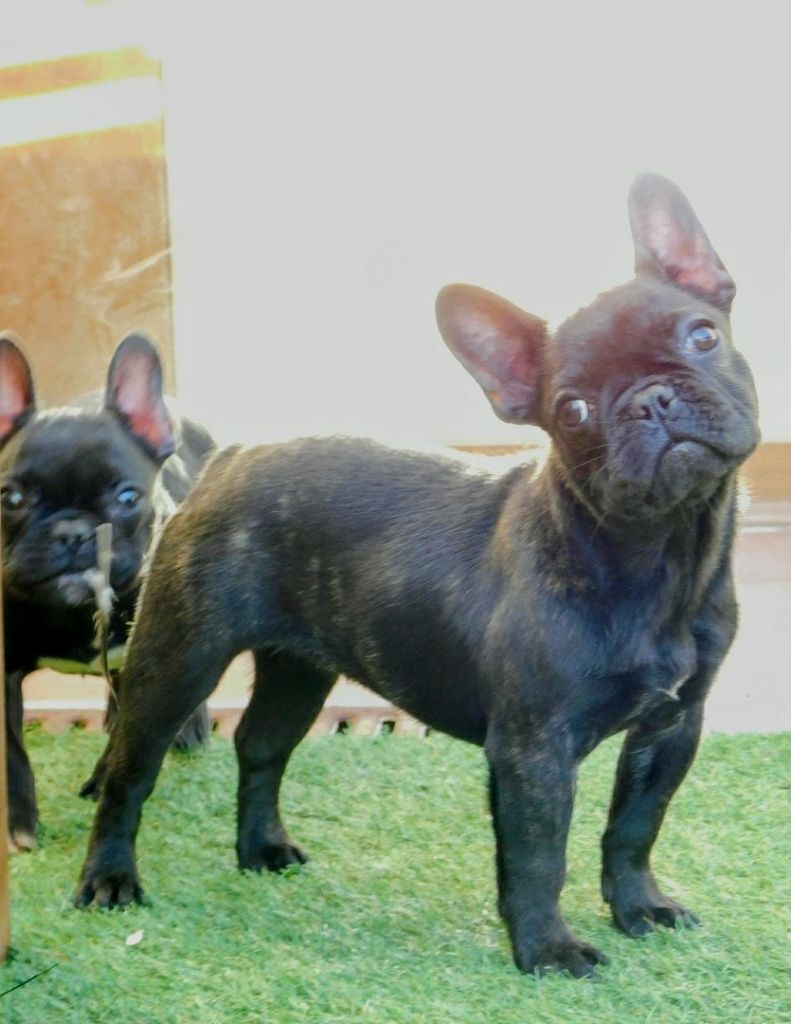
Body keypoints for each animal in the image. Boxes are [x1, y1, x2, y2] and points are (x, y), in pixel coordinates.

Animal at [0, 333, 216, 851]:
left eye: (127, 497)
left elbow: (127, 738)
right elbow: (13, 750)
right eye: (11, 498)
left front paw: (103, 782)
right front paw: (19, 825)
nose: (74, 533)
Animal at [75, 175, 759, 977]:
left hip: (298, 668)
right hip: (178, 661)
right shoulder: (534, 750)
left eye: (703, 336)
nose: (650, 396)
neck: (661, 553)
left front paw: (638, 907)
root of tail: (229, 458)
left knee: (262, 746)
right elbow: (539, 856)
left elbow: (634, 827)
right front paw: (548, 950)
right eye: (572, 409)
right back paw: (109, 878)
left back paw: (261, 849)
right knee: (131, 773)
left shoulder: (671, 727)